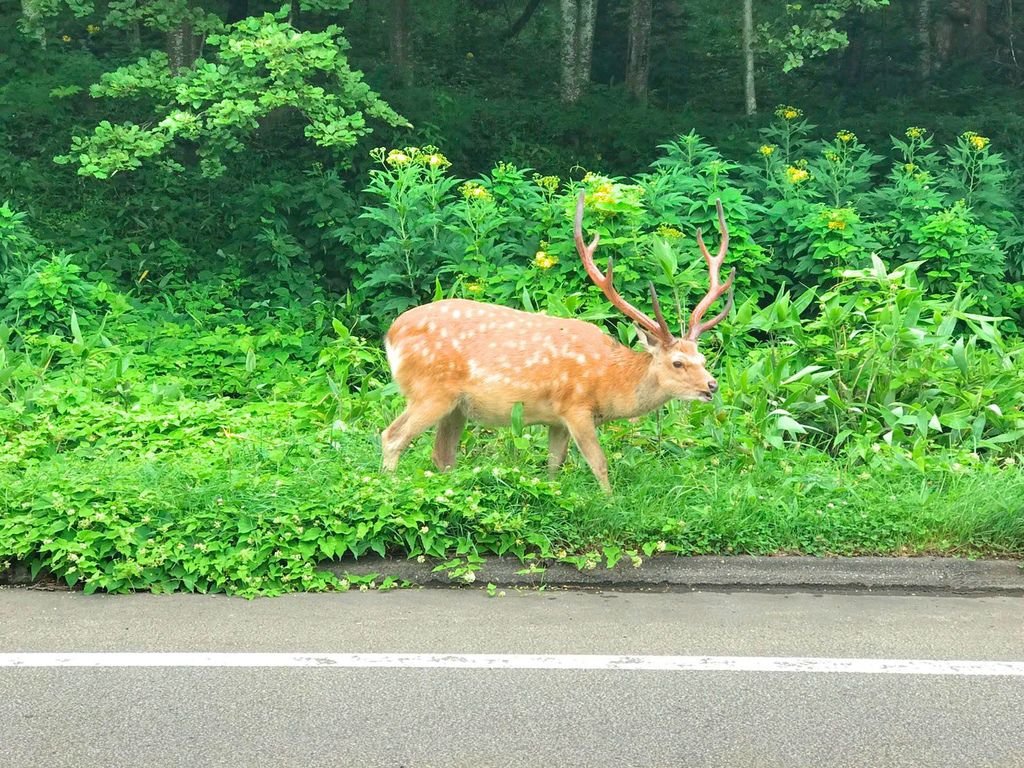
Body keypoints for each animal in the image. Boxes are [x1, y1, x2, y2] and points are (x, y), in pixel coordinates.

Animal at [380, 192, 733, 493]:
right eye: (677, 362)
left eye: (702, 359)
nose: (711, 385)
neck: (609, 379)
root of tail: (392, 334)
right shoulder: (575, 407)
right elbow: (599, 464)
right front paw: (610, 502)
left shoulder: (556, 420)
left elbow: (554, 466)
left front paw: (552, 493)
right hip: (430, 391)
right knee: (392, 436)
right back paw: (391, 487)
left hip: (456, 406)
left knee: (442, 455)